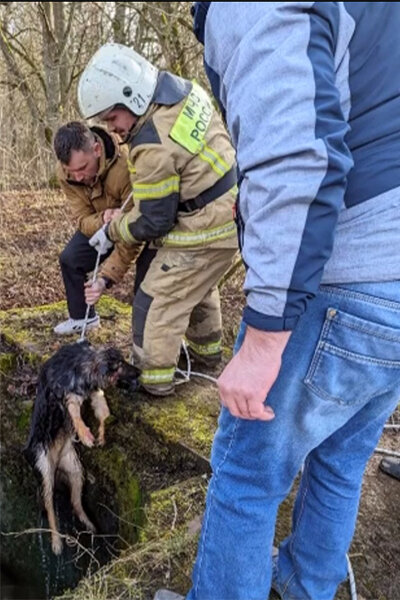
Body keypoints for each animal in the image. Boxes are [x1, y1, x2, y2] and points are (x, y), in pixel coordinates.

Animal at [23, 342, 139, 552]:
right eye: (120, 365)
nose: (140, 372)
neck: (85, 363)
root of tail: (56, 463)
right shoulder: (67, 394)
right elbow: (75, 414)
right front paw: (85, 435)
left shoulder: (94, 392)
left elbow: (103, 411)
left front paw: (101, 434)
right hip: (45, 472)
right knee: (50, 508)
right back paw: (56, 541)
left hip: (76, 470)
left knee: (75, 503)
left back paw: (89, 524)